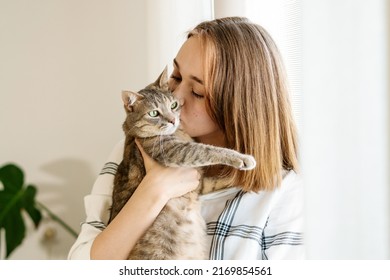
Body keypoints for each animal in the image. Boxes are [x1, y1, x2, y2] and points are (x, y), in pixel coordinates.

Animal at [109, 68, 256, 260]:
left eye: (173, 105)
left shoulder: (199, 182)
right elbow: (207, 150)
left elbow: (217, 181)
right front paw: (242, 158)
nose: (173, 120)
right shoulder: (176, 152)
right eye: (154, 113)